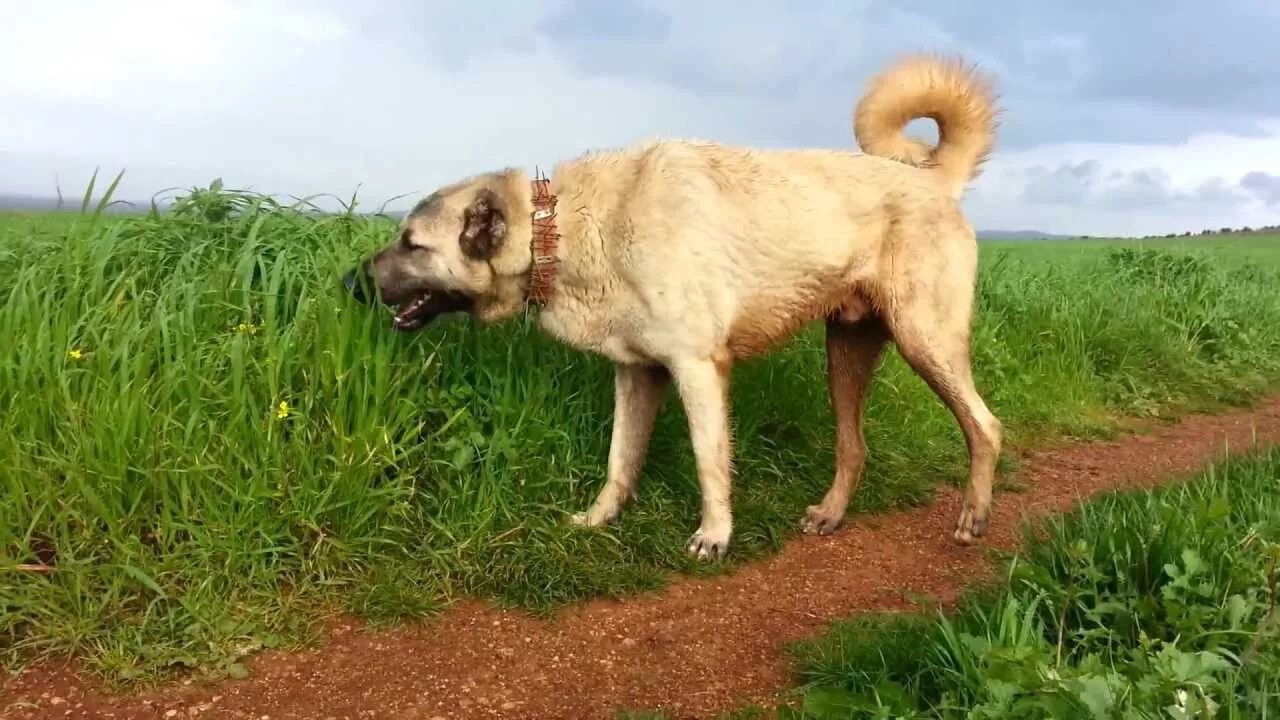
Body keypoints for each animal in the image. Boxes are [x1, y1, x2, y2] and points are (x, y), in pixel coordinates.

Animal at [345, 56, 1003, 561]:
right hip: (845, 355)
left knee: (985, 427)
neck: (567, 228)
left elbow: (710, 461)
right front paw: (598, 520)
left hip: (926, 343)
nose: (350, 281)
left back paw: (974, 516)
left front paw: (715, 537)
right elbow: (620, 460)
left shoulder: (697, 369)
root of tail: (932, 182)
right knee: (854, 447)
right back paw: (830, 515)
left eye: (412, 244)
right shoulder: (638, 374)